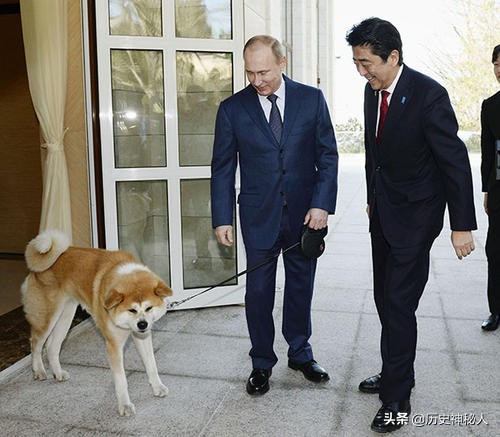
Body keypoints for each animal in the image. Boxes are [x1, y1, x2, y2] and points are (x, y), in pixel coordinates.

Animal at [21, 230, 173, 414]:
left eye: (149, 308)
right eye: (132, 310)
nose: (142, 325)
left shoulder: (142, 337)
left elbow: (151, 365)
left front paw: (158, 387)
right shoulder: (114, 345)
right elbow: (121, 380)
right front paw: (125, 405)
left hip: (66, 315)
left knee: (51, 346)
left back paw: (58, 373)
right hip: (47, 317)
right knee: (35, 343)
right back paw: (39, 370)